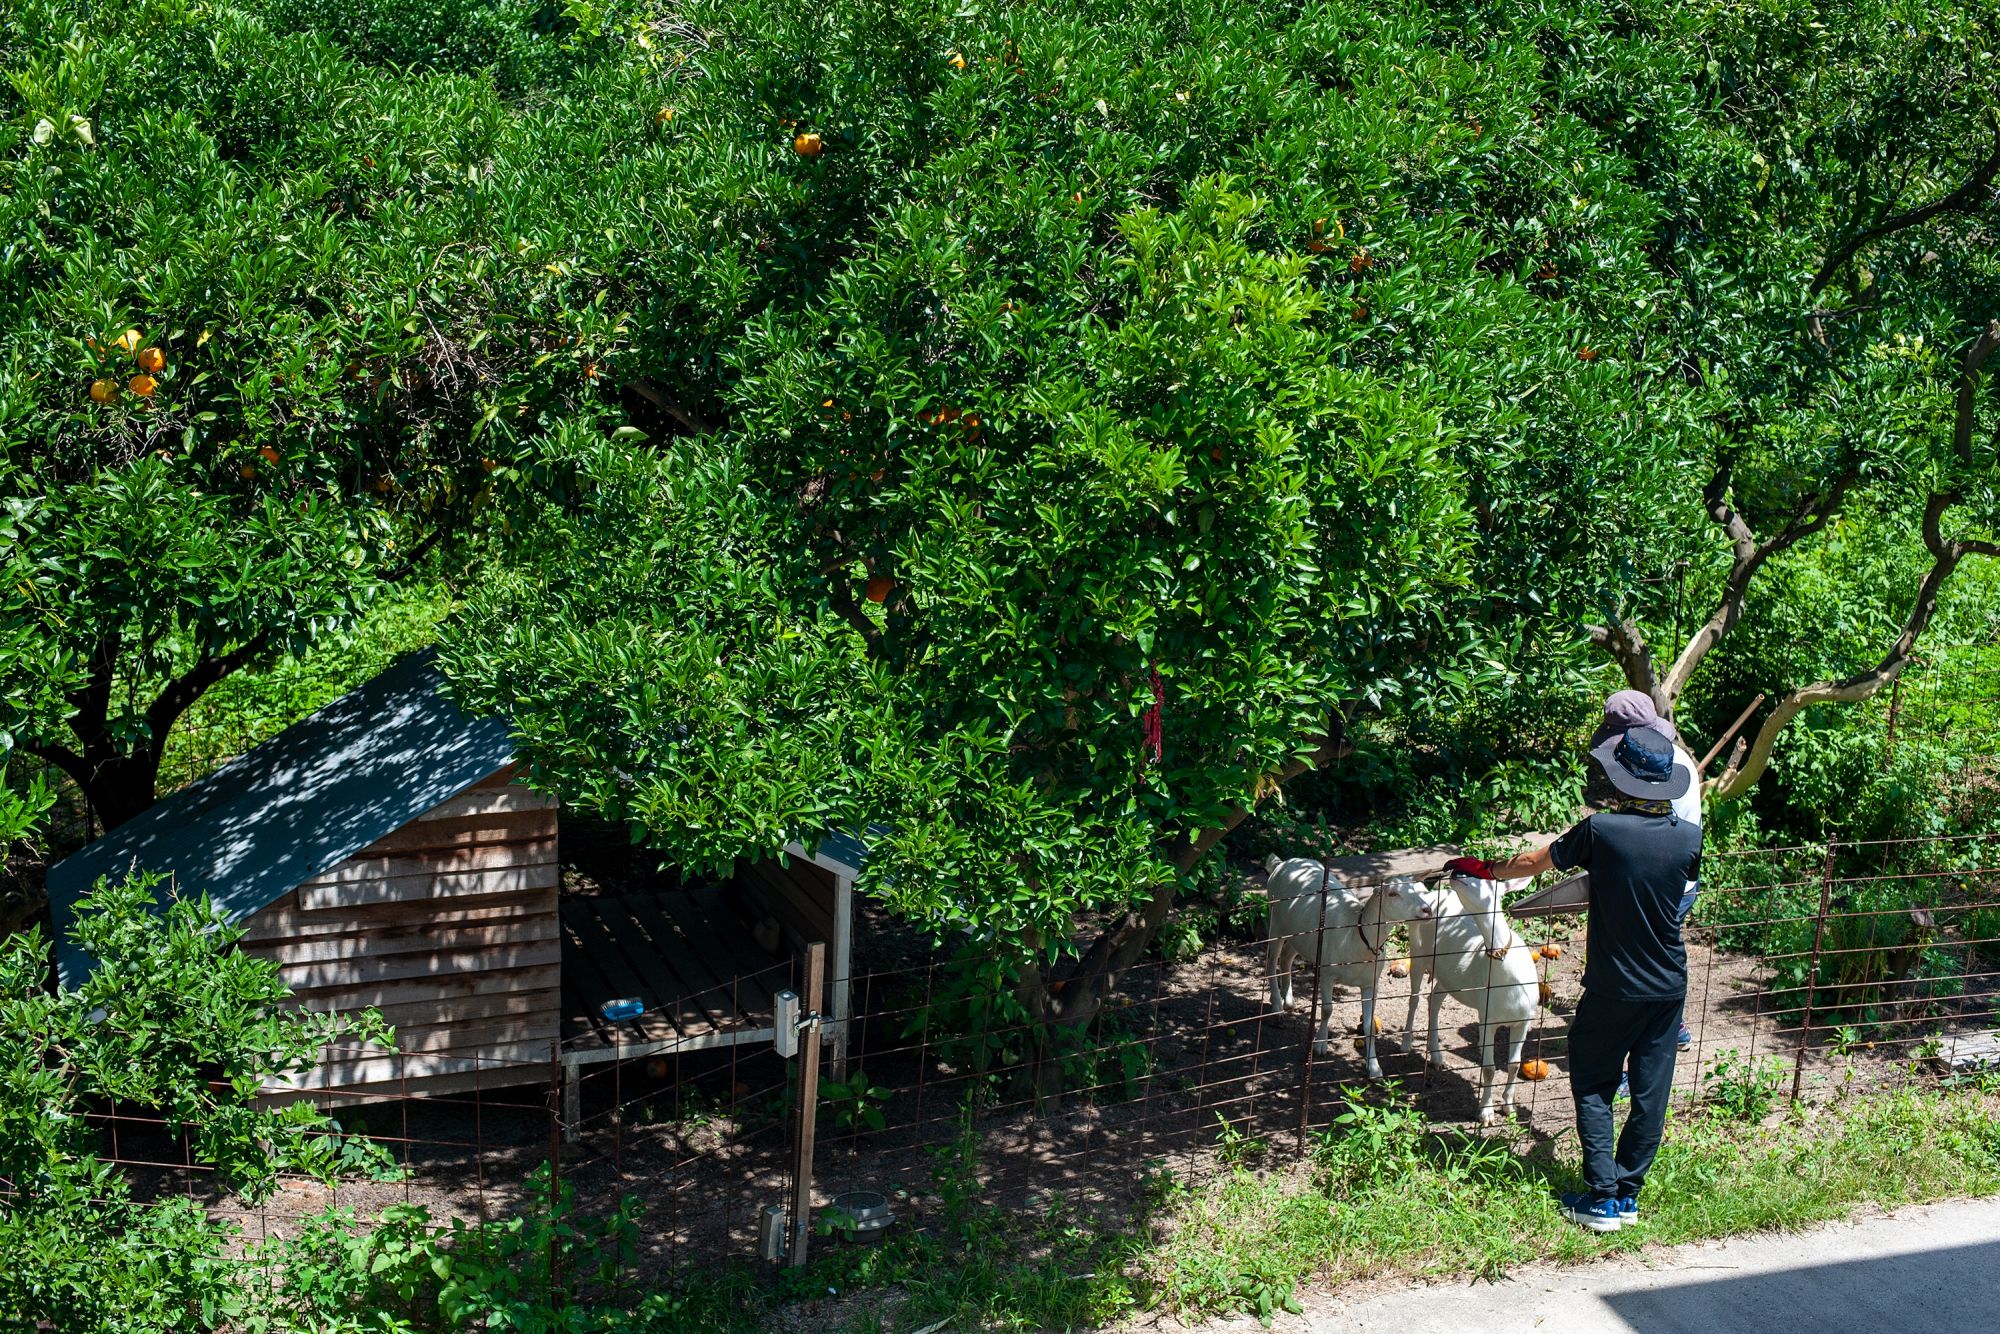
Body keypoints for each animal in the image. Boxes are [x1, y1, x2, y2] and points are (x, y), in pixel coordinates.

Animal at [1264, 856, 1440, 1088]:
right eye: (1393, 893)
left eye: (1419, 889)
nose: (1427, 910)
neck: (1358, 937)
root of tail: (1283, 862)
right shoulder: (1326, 973)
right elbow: (1327, 1010)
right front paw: (1320, 1045)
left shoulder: (1371, 983)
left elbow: (1369, 1025)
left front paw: (1374, 1068)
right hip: (1275, 921)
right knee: (1271, 959)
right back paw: (1276, 1006)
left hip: (1300, 936)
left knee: (1286, 957)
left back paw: (1289, 1000)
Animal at [1400, 876, 1536, 1128]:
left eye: (1486, 878)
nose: (1455, 875)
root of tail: (1429, 895)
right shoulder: (1487, 1016)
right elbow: (1490, 1069)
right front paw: (1486, 1114)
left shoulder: (1524, 1019)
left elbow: (1514, 1064)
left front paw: (1509, 1108)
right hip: (1418, 949)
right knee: (1415, 997)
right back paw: (1406, 1043)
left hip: (1449, 977)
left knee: (1434, 998)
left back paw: (1437, 1058)